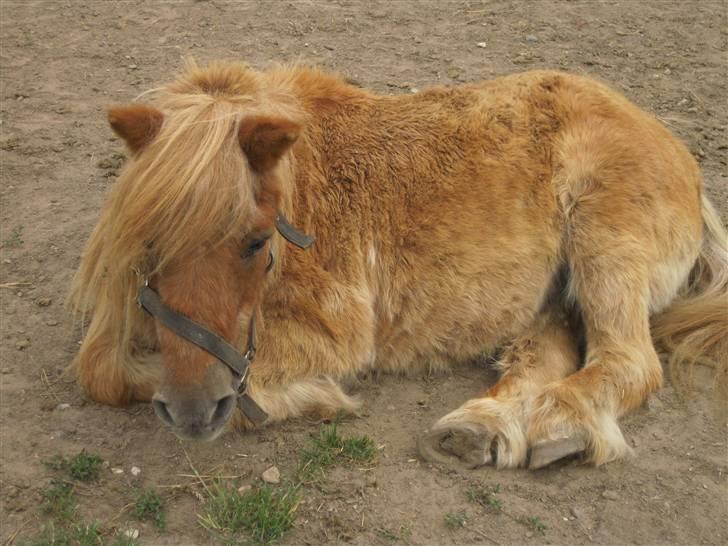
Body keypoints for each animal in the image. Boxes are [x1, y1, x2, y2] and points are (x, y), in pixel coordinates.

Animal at [69, 60, 728, 468]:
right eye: (150, 243)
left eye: (256, 243)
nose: (191, 410)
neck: (300, 193)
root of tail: (678, 154)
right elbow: (104, 372)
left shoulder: (332, 334)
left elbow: (248, 386)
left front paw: (315, 397)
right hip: (553, 290)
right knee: (550, 347)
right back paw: (487, 428)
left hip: (604, 246)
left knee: (630, 361)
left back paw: (555, 422)